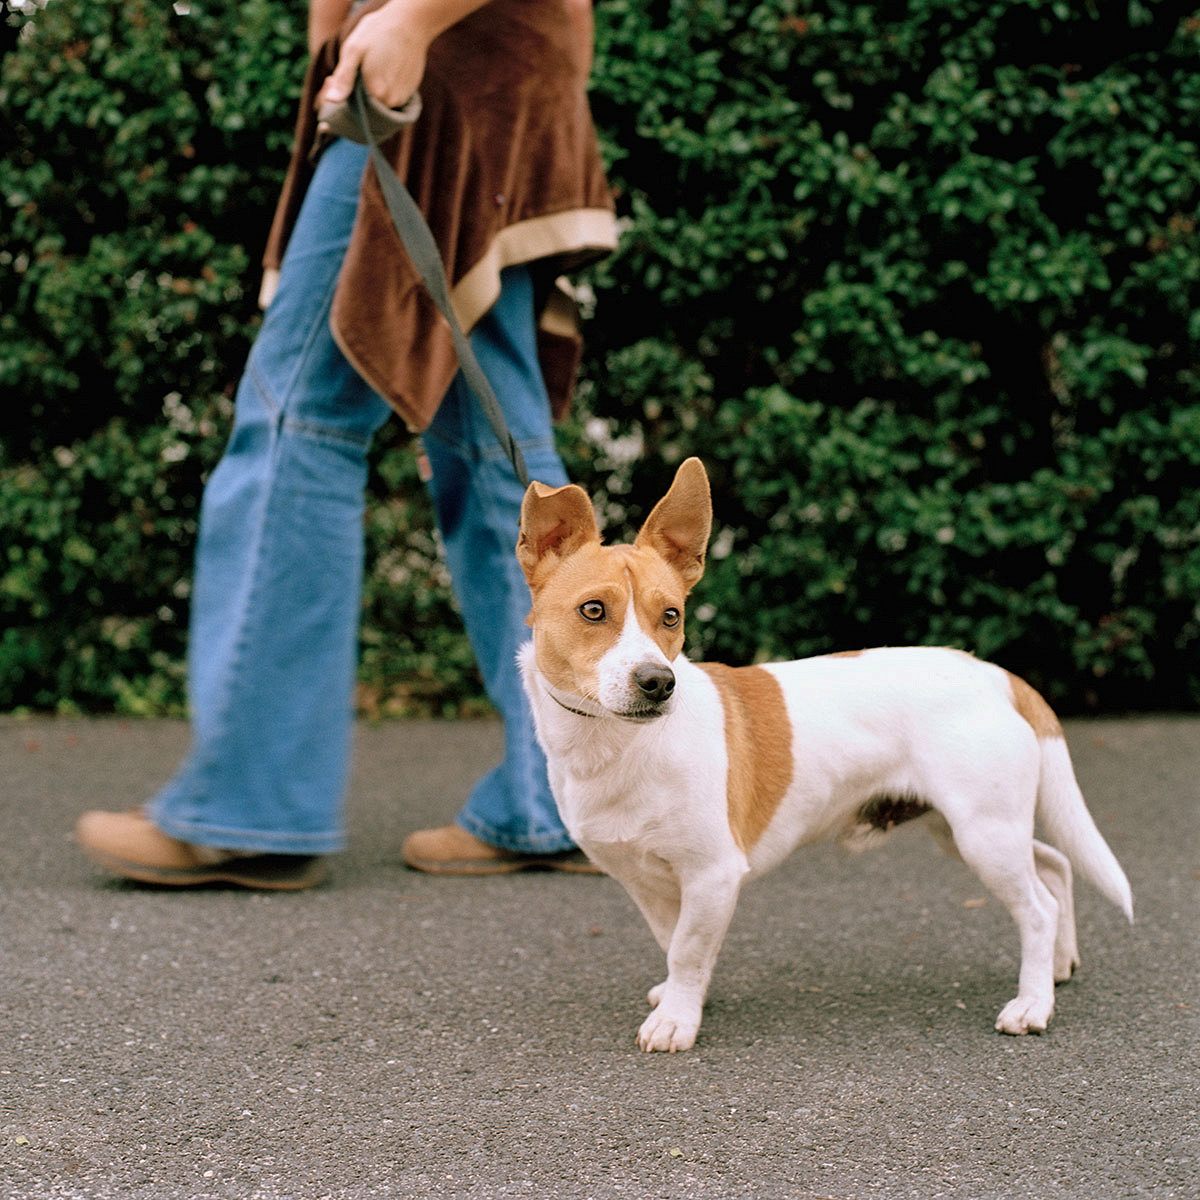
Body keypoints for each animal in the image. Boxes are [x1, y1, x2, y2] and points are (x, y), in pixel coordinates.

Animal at [516, 458, 1132, 1051]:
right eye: (593, 611)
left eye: (671, 616)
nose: (658, 682)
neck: (615, 745)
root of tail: (998, 675)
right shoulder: (647, 883)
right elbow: (676, 944)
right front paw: (681, 999)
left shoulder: (713, 874)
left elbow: (688, 950)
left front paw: (677, 1021)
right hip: (965, 830)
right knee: (1054, 866)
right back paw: (1057, 968)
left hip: (984, 833)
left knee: (1038, 909)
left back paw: (1031, 1006)